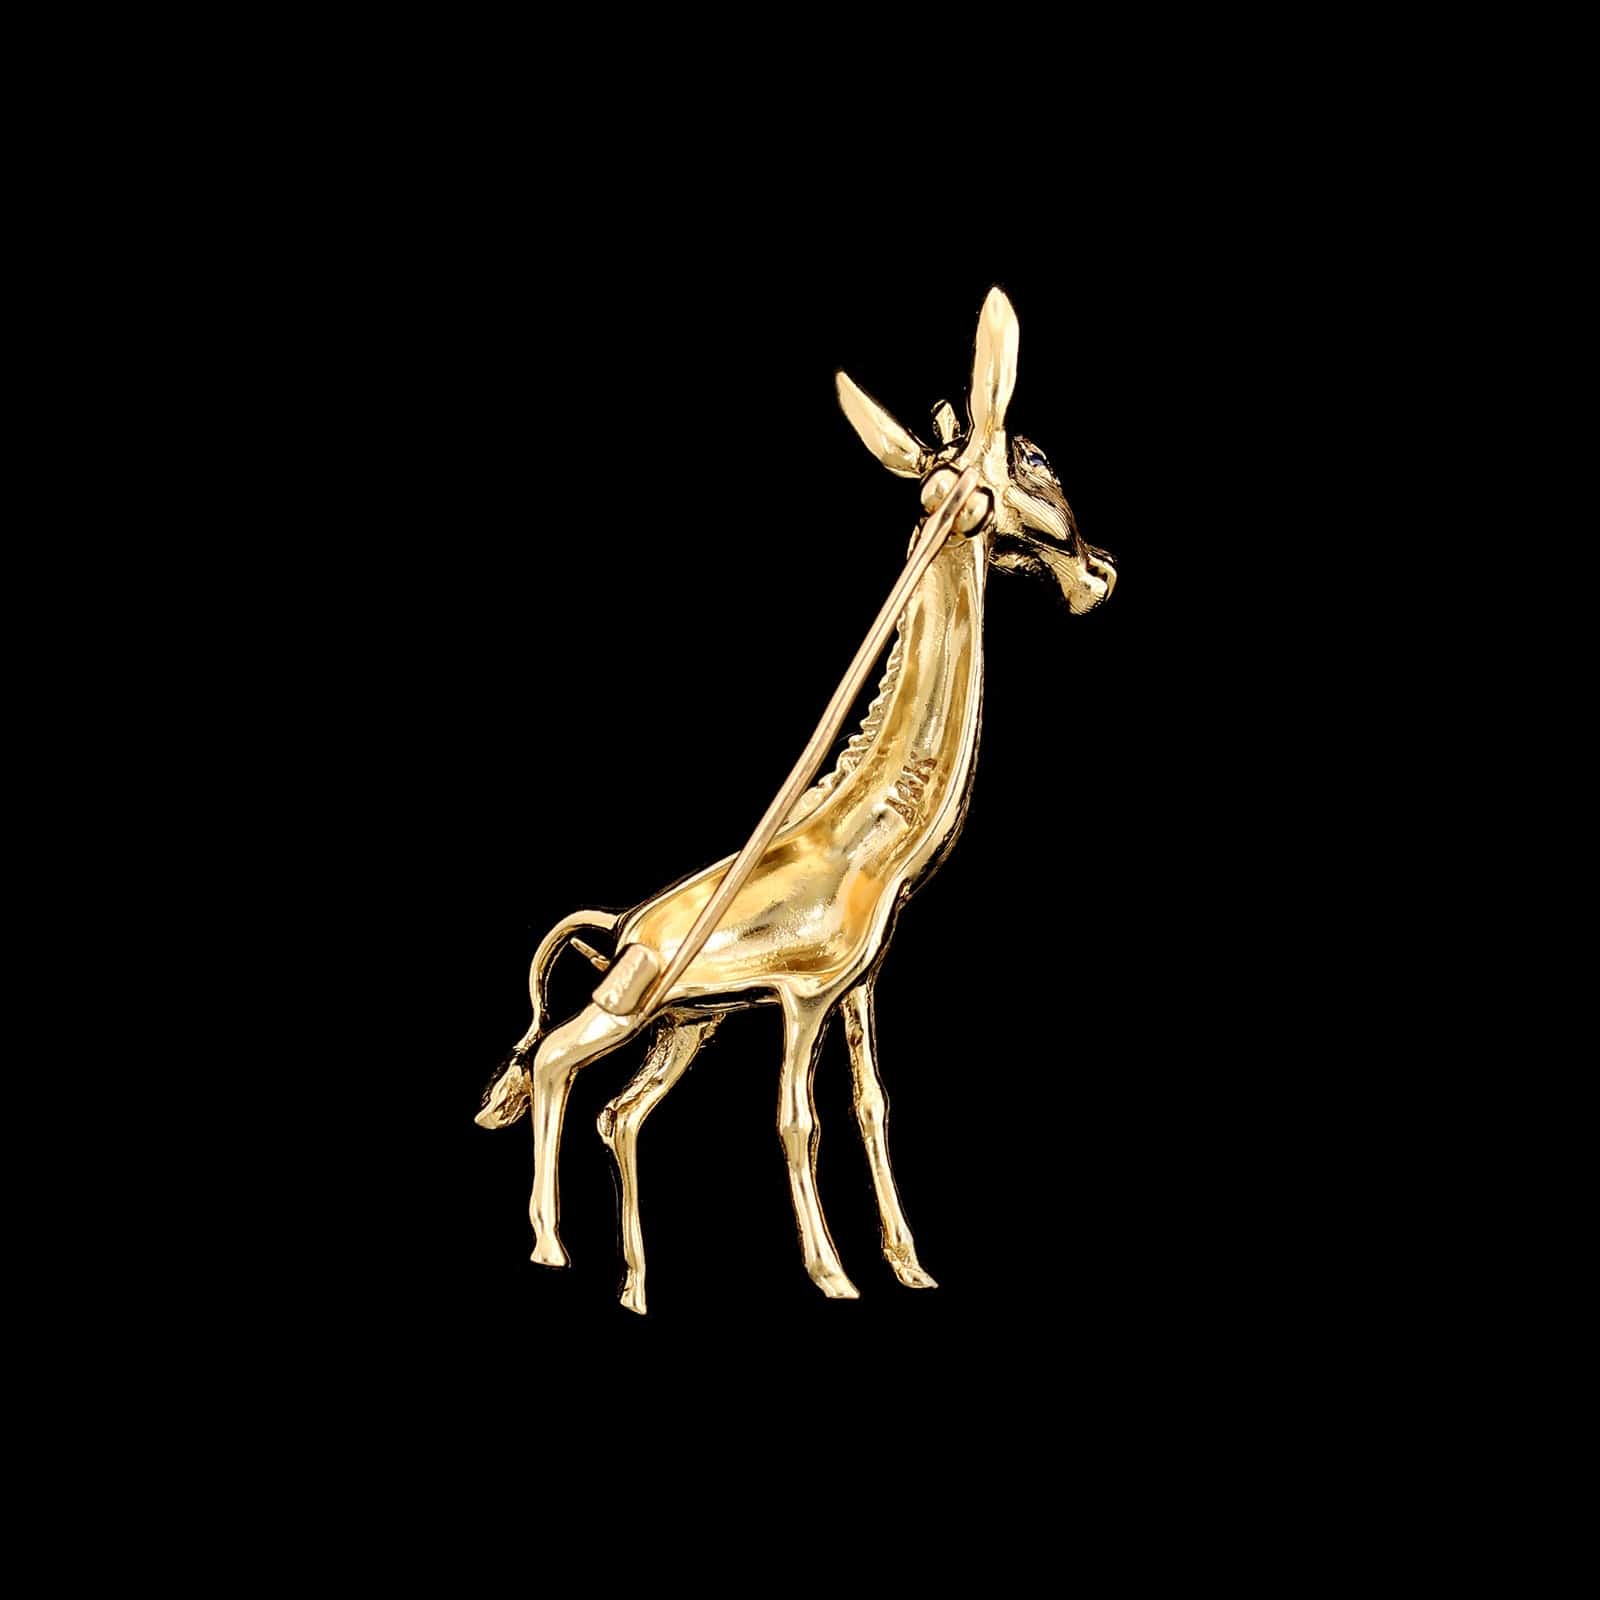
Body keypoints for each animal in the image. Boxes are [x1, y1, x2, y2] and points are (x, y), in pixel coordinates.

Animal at [476, 288, 1116, 1313]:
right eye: (1036, 463)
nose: (1098, 573)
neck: (868, 842)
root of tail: (620, 926)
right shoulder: (802, 996)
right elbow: (797, 1120)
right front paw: (835, 1277)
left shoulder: (856, 990)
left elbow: (873, 1108)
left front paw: (911, 1266)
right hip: (633, 1006)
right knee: (553, 1061)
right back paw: (548, 1249)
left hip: (685, 1024)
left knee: (622, 1114)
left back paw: (636, 1286)